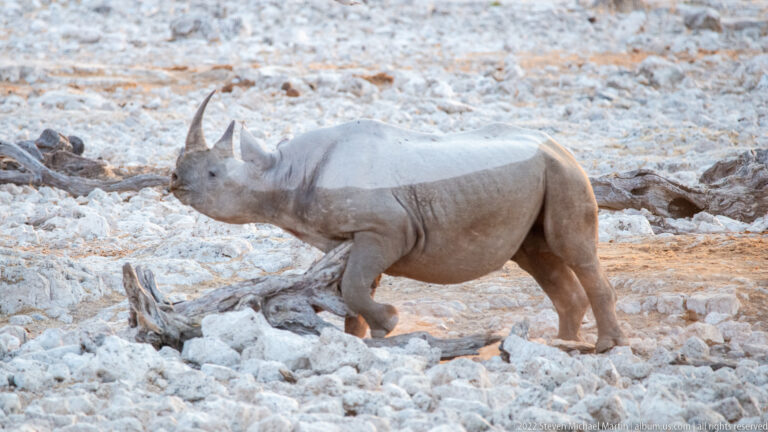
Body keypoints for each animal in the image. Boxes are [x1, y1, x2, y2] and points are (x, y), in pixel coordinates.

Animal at [170, 91, 627, 353]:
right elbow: (350, 287)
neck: (284, 173)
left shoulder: (386, 229)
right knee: (537, 257)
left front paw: (387, 323)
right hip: (542, 176)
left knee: (574, 250)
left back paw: (604, 346)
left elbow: (355, 285)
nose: (173, 180)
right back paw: (564, 343)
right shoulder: (349, 236)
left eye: (213, 174)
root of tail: (561, 146)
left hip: (565, 173)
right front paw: (358, 338)